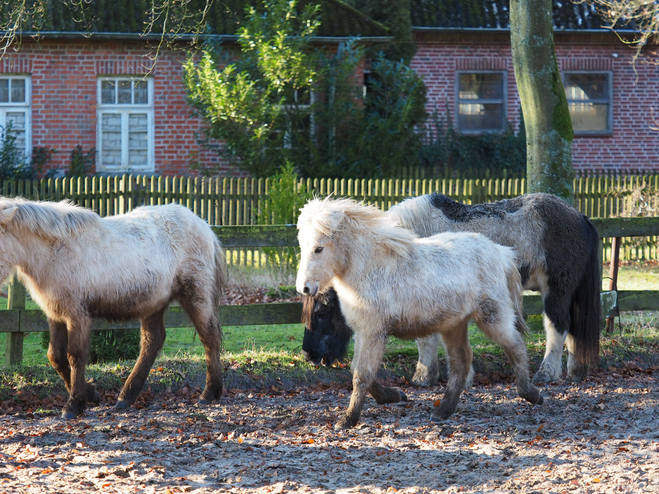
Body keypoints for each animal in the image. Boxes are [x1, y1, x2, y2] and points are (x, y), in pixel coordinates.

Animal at [0, 199, 227, 418]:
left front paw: (73, 405)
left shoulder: (77, 315)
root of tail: (204, 226)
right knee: (152, 341)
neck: (56, 251)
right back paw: (126, 397)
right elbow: (55, 356)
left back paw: (209, 393)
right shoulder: (55, 313)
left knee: (209, 337)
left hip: (196, 295)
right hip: (154, 303)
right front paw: (90, 394)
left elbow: (75, 356)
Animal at [296, 197, 544, 428]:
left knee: (515, 346)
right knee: (461, 361)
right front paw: (393, 396)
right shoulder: (364, 331)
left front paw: (348, 419)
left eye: (318, 248)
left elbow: (362, 374)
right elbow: (358, 369)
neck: (371, 268)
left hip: (492, 317)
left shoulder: (373, 331)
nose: (304, 288)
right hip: (454, 325)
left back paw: (531, 394)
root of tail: (502, 253)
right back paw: (442, 411)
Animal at [302, 193, 600, 386]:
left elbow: (426, 339)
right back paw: (574, 371)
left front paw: (423, 377)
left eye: (321, 312)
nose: (309, 355)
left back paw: (547, 373)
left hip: (556, 291)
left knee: (557, 327)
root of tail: (580, 217)